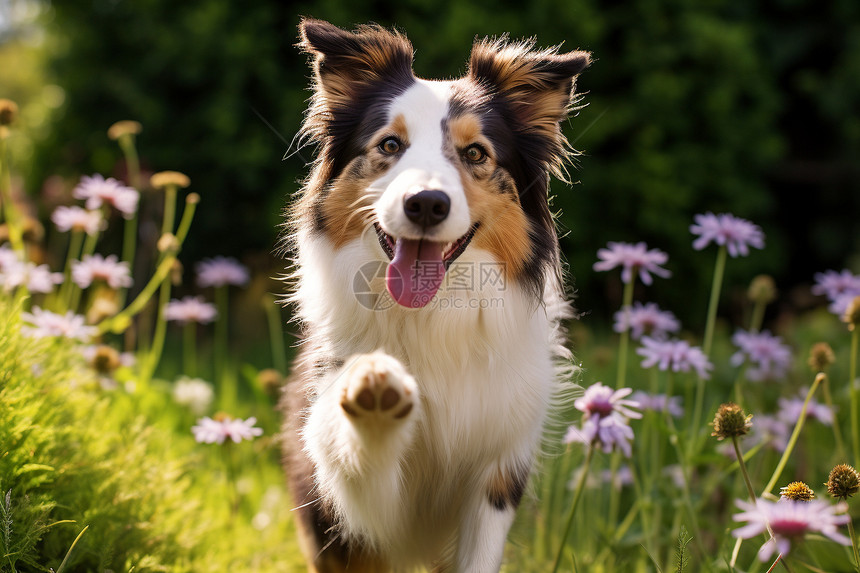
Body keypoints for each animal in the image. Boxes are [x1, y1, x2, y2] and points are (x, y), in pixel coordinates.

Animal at [282, 17, 592, 572]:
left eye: (475, 154)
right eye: (390, 145)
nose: (426, 203)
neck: (434, 316)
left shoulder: (499, 470)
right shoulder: (352, 507)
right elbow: (357, 461)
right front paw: (375, 392)